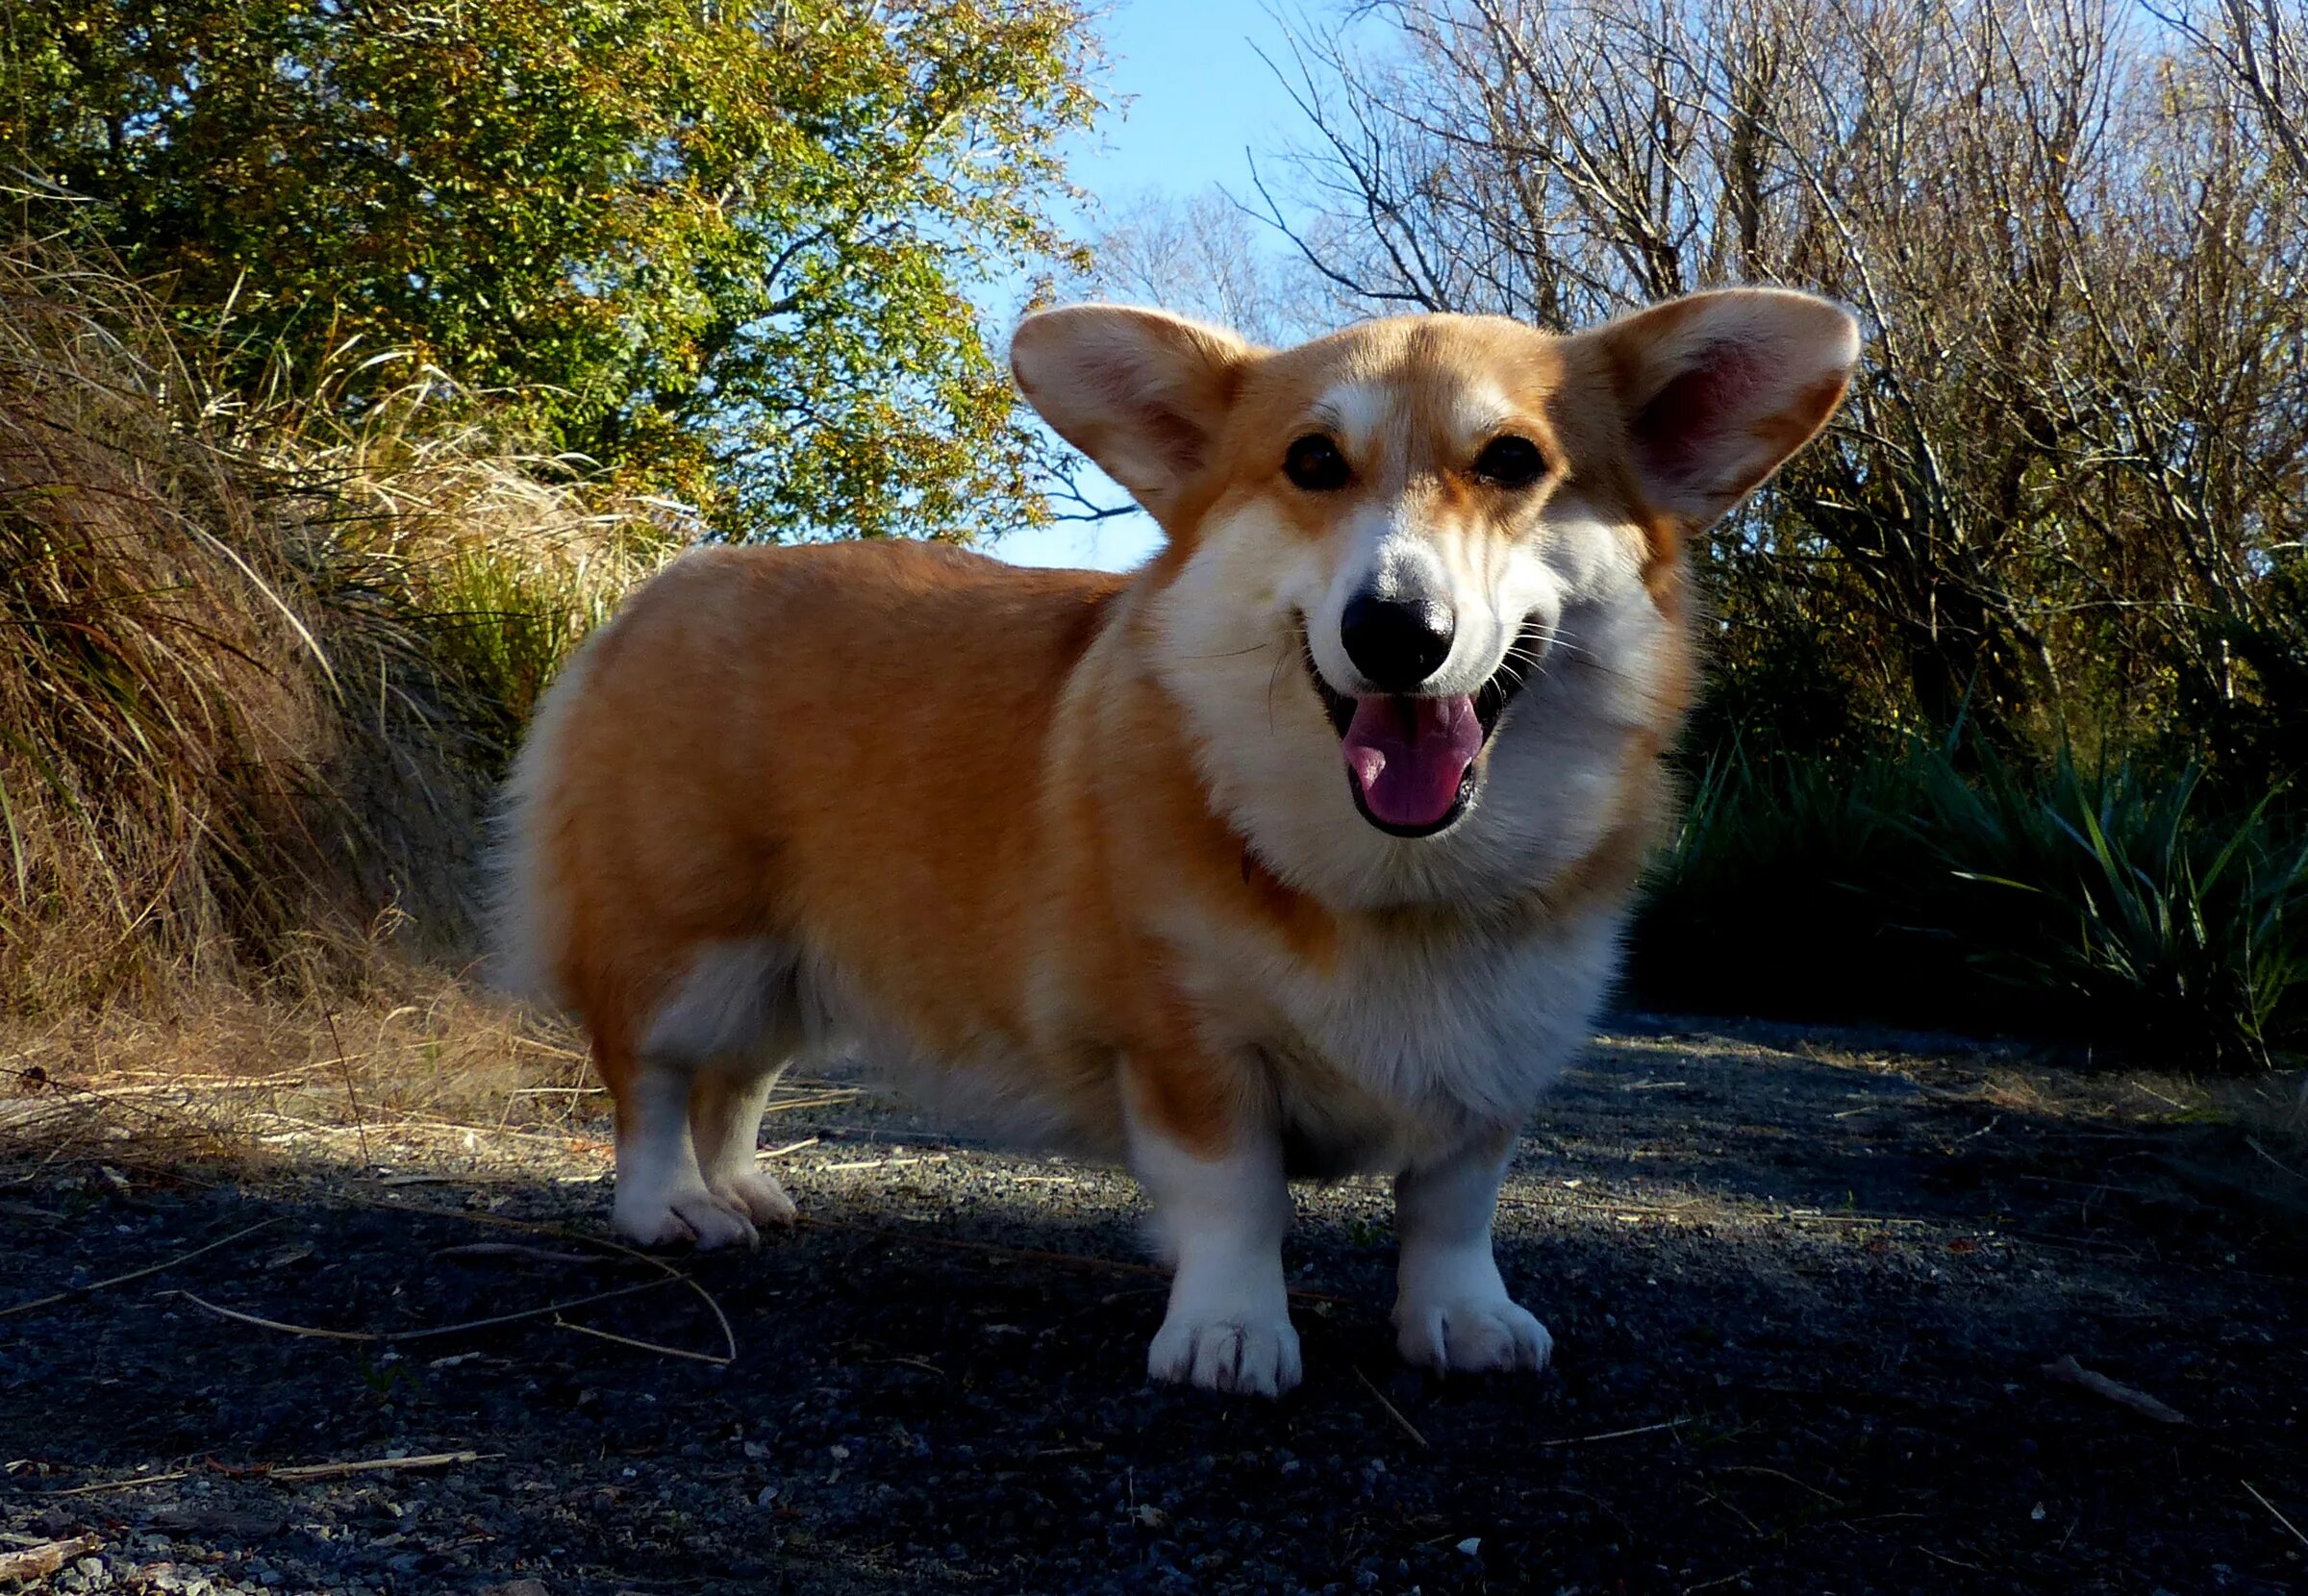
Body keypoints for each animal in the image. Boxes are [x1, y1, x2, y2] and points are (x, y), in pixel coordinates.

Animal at [491, 287, 1855, 1392]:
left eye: (1514, 459)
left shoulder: (1497, 1049)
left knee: (737, 1083)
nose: (1394, 631)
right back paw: (671, 1208)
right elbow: (1236, 1198)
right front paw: (1231, 1335)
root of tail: (665, 583)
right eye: (1313, 461)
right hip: (690, 942)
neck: (1395, 881)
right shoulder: (1189, 1043)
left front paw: (1466, 1320)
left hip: (788, 967)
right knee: (653, 1080)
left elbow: (1455, 1203)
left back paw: (737, 1186)